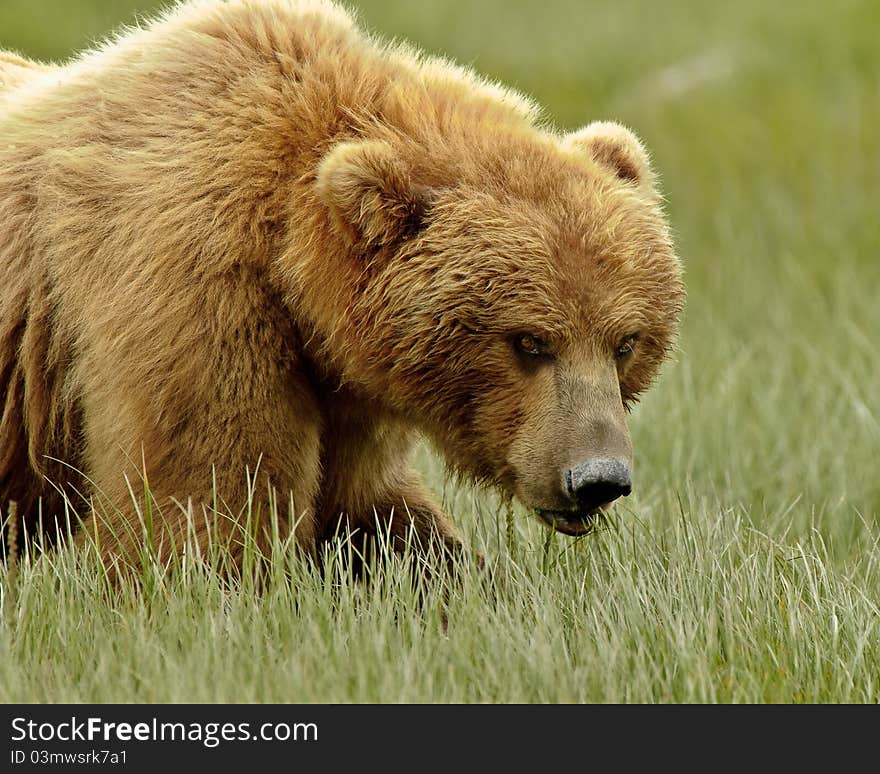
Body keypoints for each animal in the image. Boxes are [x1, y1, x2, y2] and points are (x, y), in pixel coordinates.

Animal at [0, 0, 680, 568]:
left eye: (625, 342)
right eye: (528, 341)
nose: (596, 479)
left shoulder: (350, 384)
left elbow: (373, 514)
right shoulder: (191, 288)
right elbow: (206, 498)